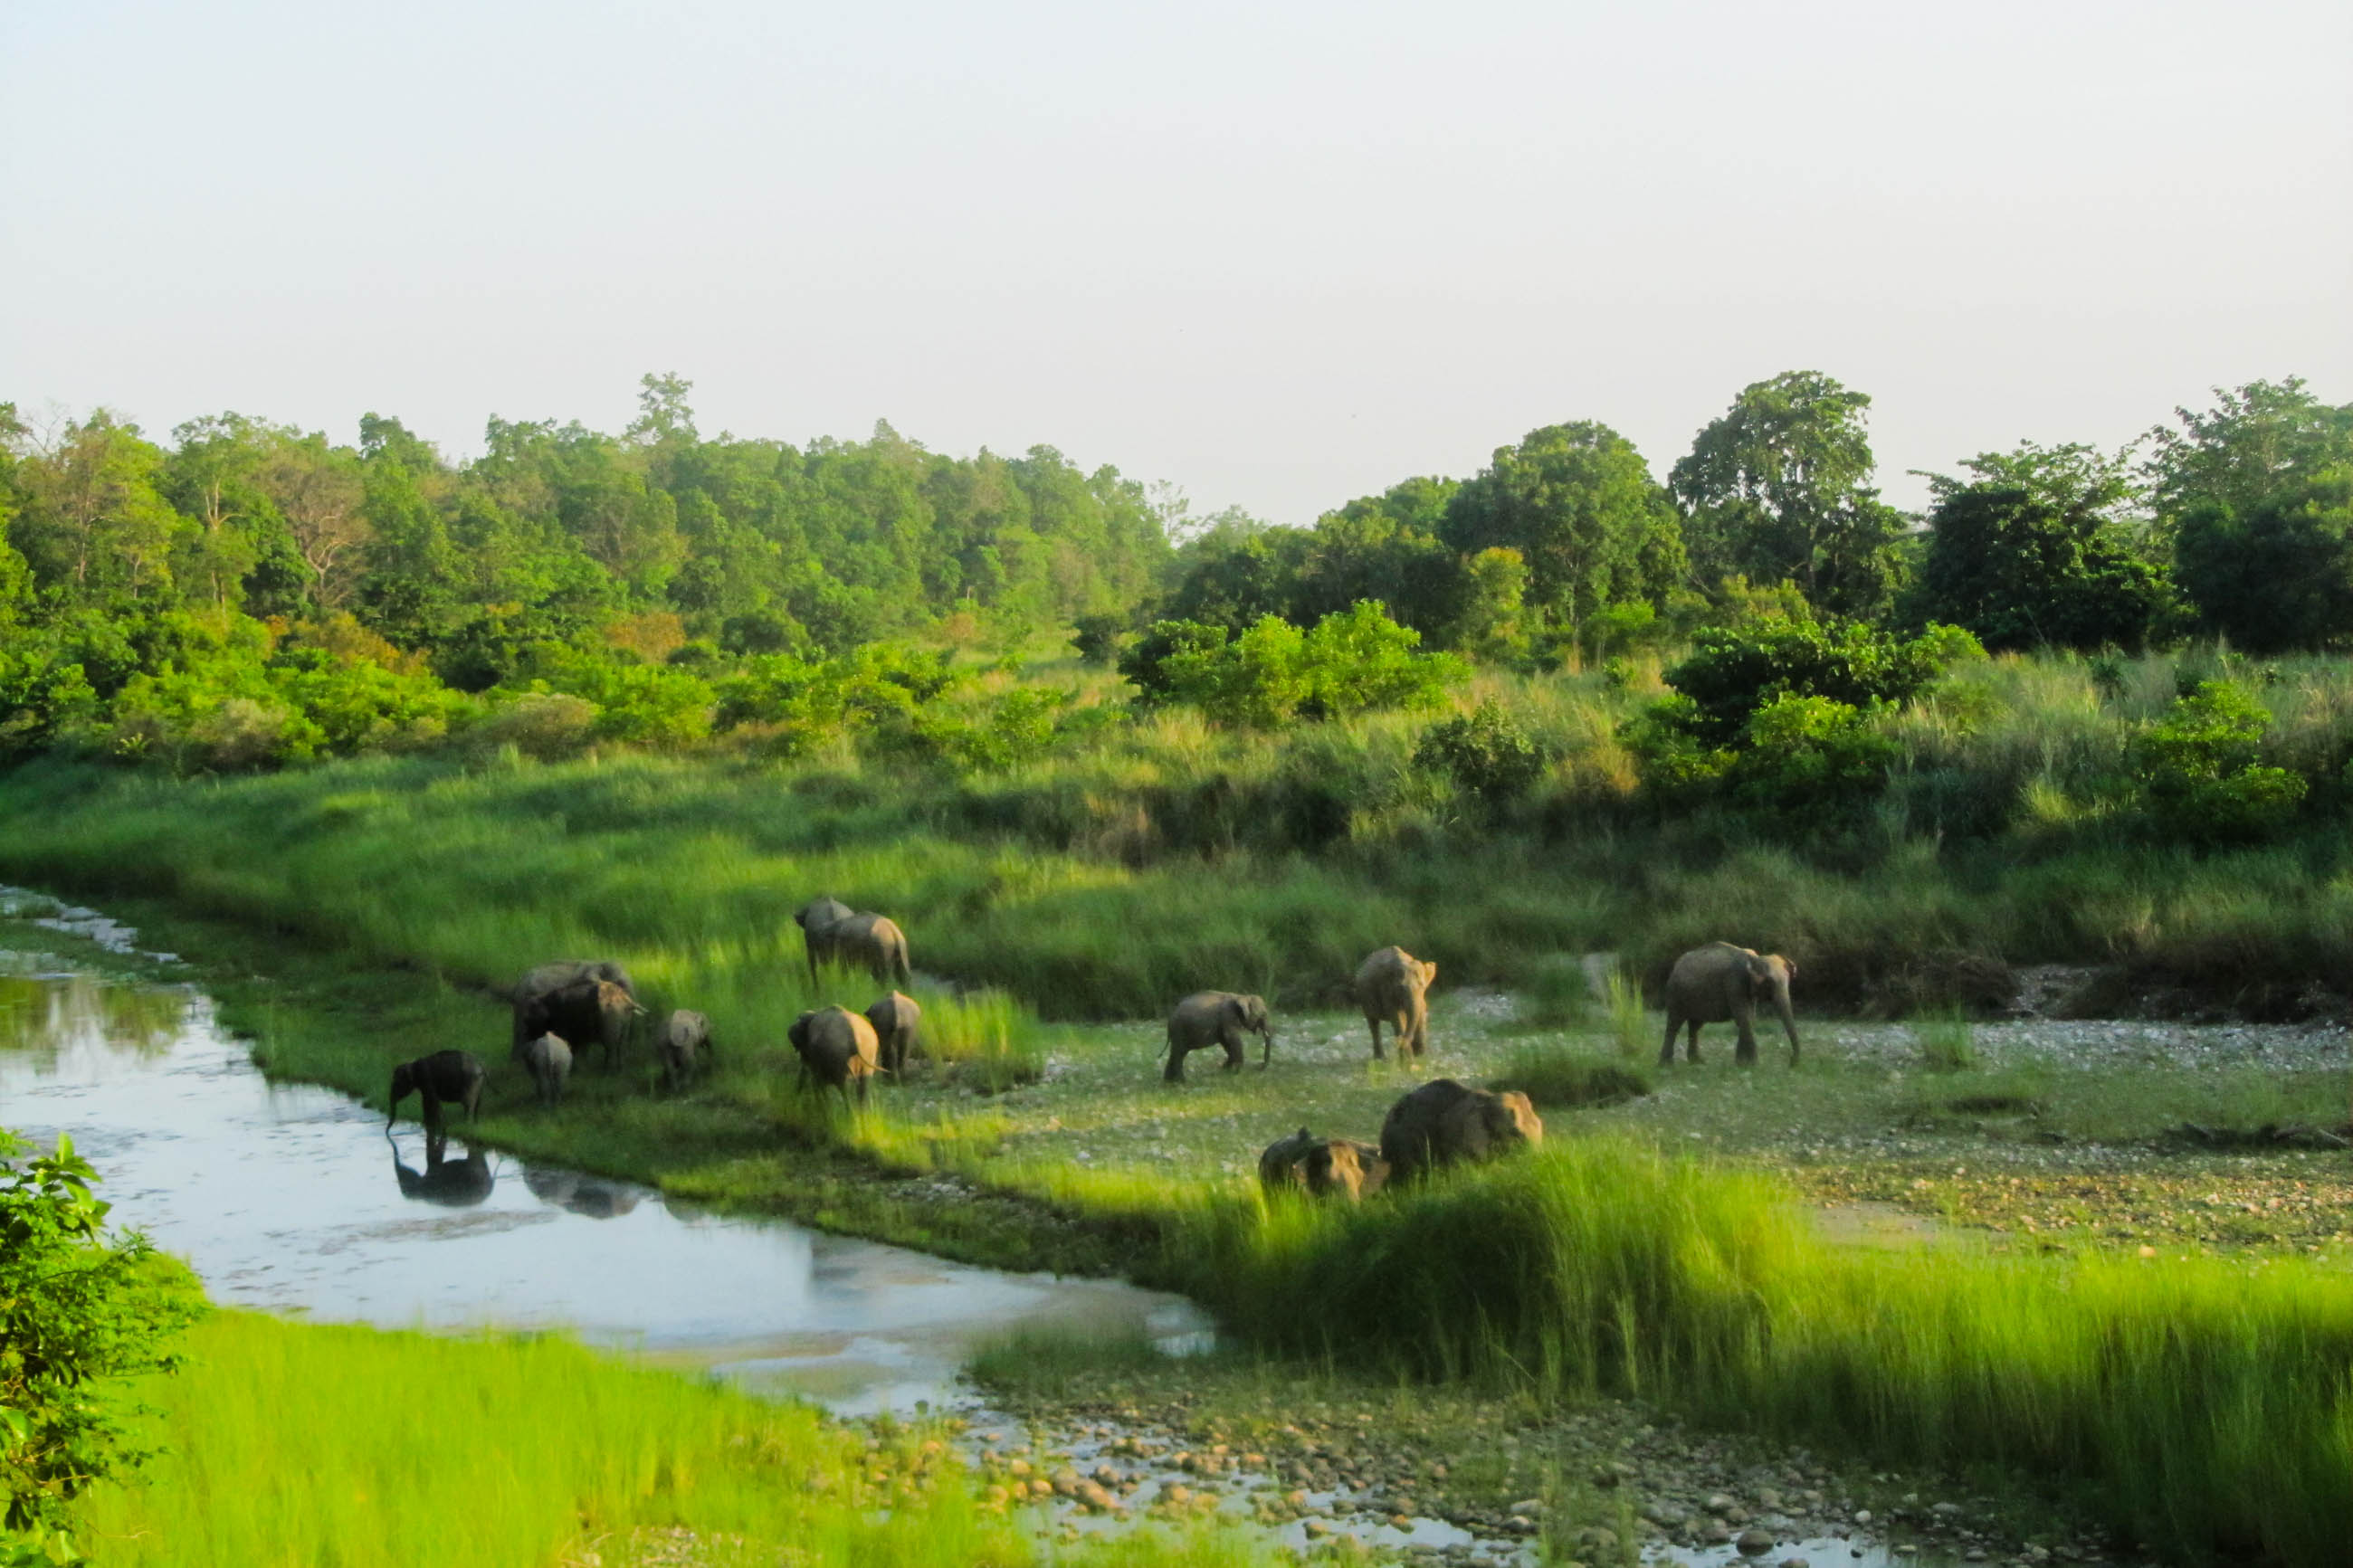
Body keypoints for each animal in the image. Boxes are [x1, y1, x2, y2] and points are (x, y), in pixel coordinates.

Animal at [517, 977, 643, 1070]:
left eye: (529, 1021)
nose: (527, 1037)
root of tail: (626, 1000)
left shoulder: (565, 1027)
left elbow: (572, 1048)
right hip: (624, 1024)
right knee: (620, 1046)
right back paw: (619, 1069)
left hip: (609, 1024)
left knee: (610, 1047)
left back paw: (606, 1070)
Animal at [1659, 942, 1800, 1067]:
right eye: (1769, 983)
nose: (1792, 1062)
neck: (1755, 959)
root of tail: (1676, 965)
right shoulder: (1734, 983)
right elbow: (1743, 1017)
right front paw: (1753, 1066)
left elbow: (1748, 1018)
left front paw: (1741, 1064)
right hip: (1676, 993)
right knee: (1674, 1023)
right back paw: (1667, 1066)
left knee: (1695, 1025)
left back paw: (1697, 1062)